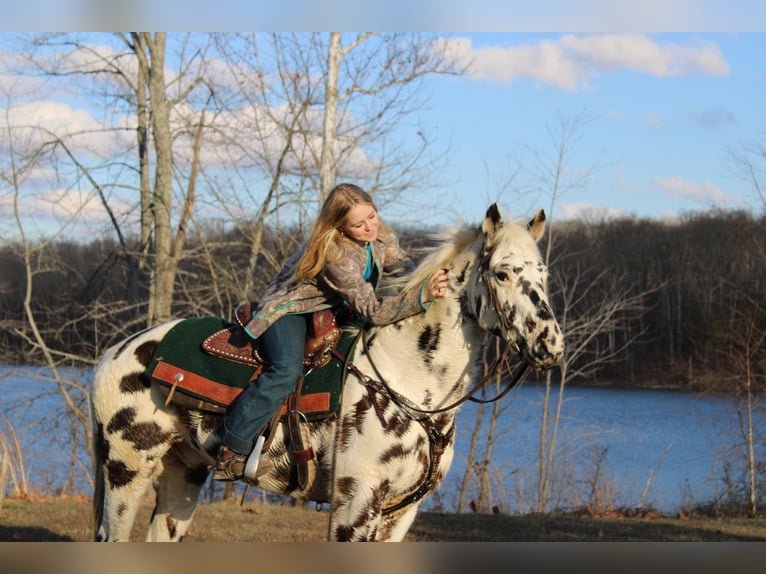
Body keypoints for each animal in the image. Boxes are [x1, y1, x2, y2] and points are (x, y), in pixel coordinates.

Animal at [93, 205, 568, 544]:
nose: (550, 345)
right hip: (126, 471)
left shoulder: (401, 511)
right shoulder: (355, 504)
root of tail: (114, 352)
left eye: (543, 273)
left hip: (184, 472)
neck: (409, 383)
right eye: (502, 273)